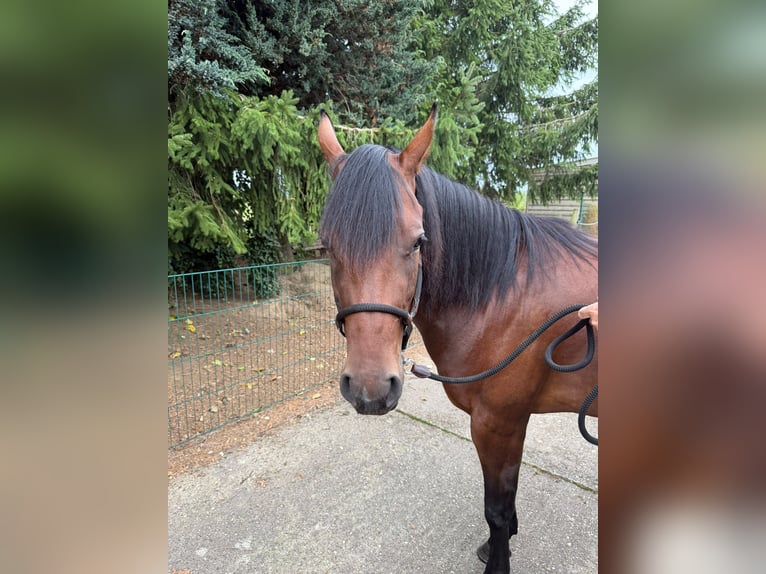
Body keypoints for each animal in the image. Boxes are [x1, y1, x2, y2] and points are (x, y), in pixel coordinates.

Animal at [317, 105, 598, 574]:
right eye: (325, 247)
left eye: (418, 242)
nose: (370, 388)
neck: (503, 293)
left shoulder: (498, 423)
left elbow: (496, 509)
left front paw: (498, 561)